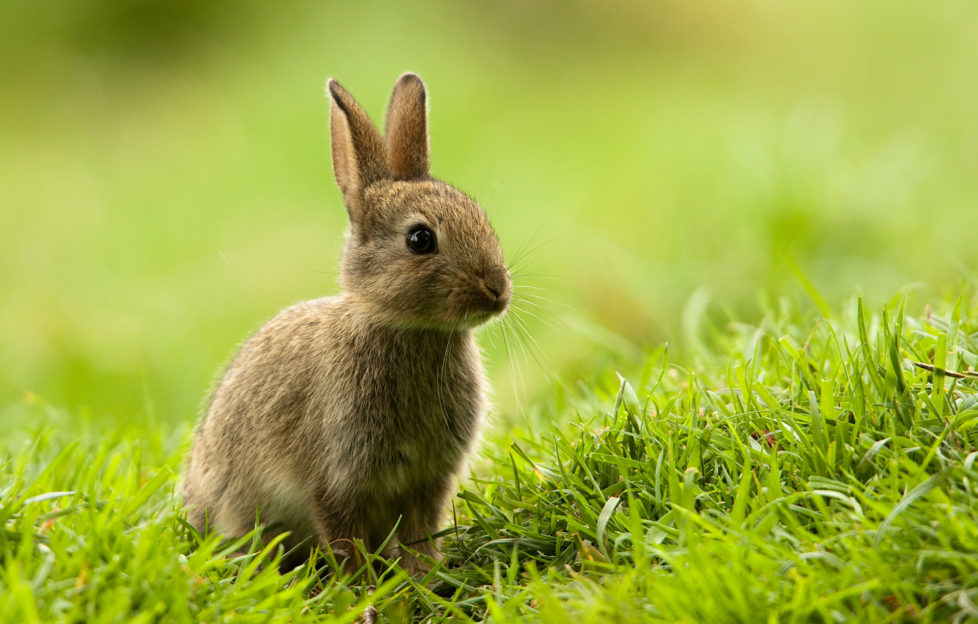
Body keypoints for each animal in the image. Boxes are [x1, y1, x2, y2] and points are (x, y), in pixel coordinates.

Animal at [180, 73, 510, 576]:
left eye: (481, 218)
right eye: (420, 239)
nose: (497, 289)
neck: (407, 330)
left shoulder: (429, 478)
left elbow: (420, 528)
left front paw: (425, 574)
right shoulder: (336, 474)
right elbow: (342, 532)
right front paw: (363, 583)